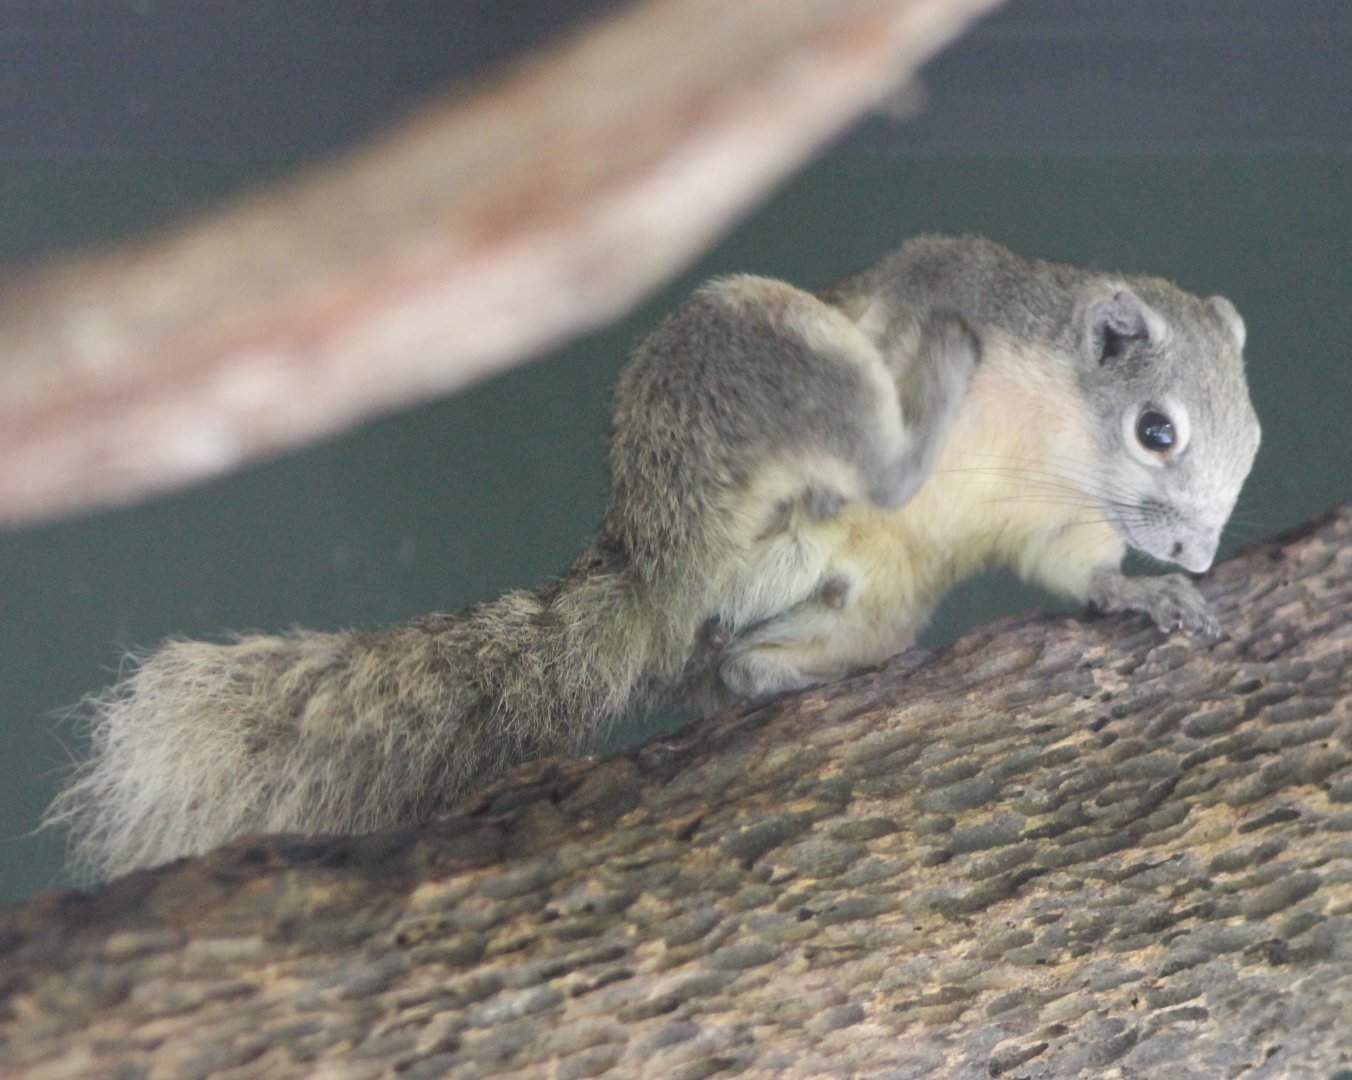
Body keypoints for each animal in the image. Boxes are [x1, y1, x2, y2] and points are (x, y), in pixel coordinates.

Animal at [47, 236, 1260, 882]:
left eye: (1251, 440)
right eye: (1156, 430)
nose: (1197, 551)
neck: (1055, 437)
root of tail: (652, 565)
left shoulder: (1060, 524)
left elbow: (1074, 570)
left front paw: (1148, 598)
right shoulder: (947, 283)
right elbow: (922, 301)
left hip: (866, 595)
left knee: (732, 661)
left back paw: (808, 667)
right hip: (749, 357)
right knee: (850, 437)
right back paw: (907, 419)